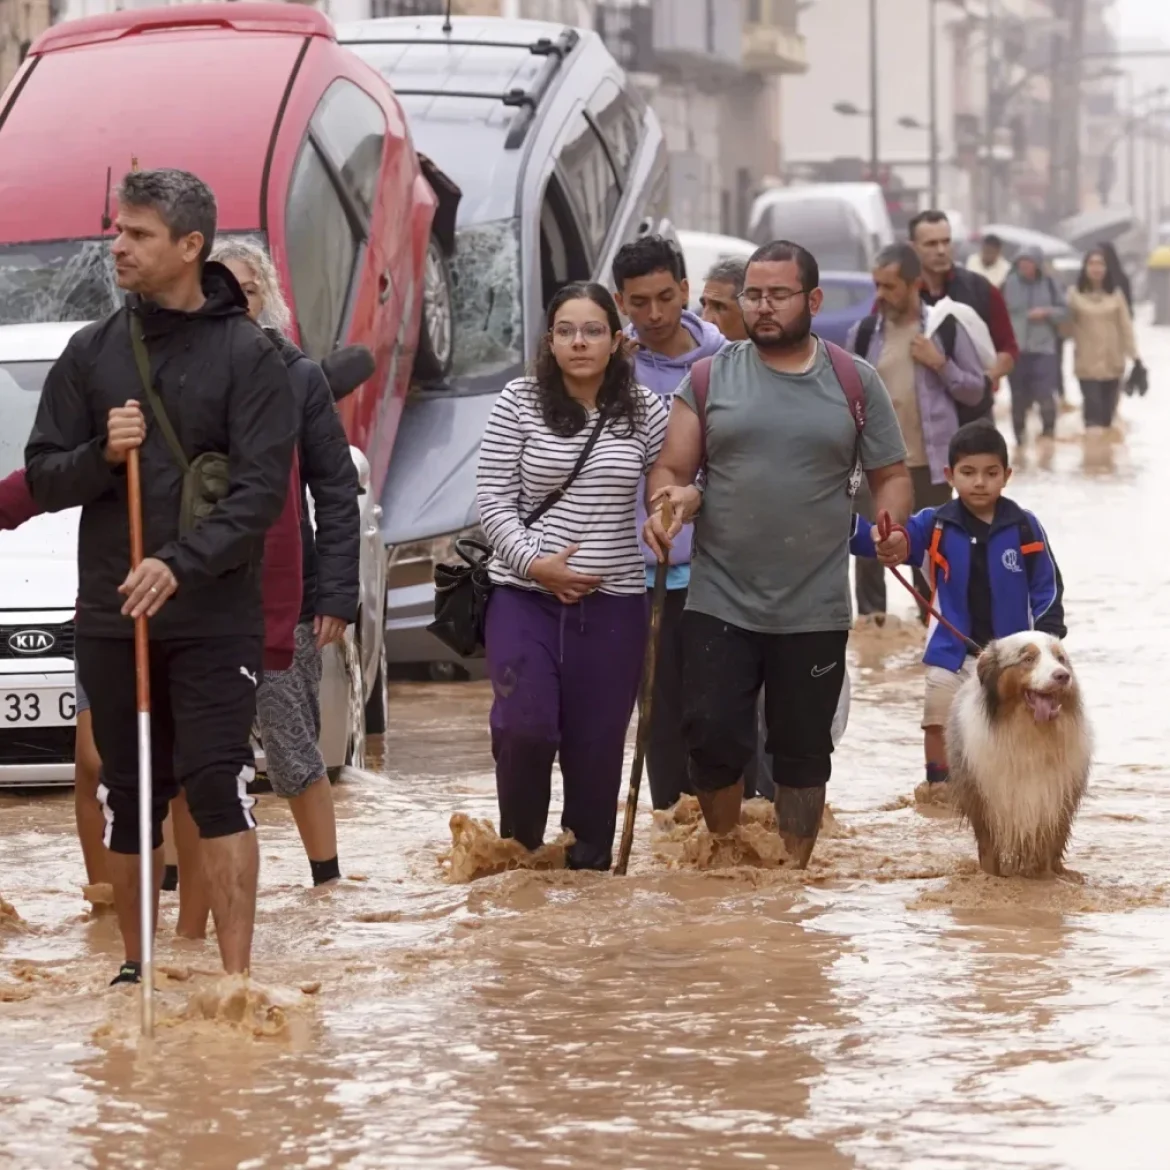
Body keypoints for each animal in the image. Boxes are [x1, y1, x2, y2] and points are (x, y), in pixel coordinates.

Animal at [945, 631, 1090, 879]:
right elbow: (989, 849)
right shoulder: (984, 800)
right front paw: (991, 876)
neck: (1031, 731)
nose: (1063, 675)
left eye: (1060, 658)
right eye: (1028, 659)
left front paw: (1048, 877)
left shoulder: (1055, 799)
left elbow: (1049, 845)